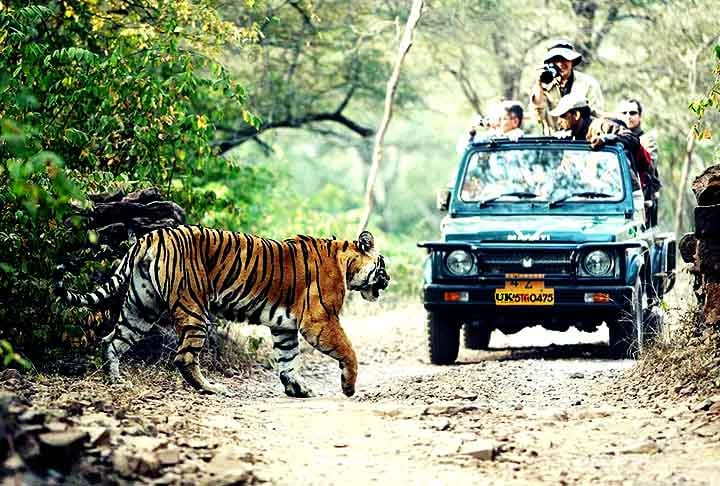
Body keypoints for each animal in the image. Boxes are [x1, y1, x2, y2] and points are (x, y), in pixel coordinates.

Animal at [57, 225, 390, 398]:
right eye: (383, 265)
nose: (388, 280)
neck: (346, 263)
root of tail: (150, 236)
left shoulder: (284, 325)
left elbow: (288, 358)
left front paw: (296, 388)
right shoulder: (320, 320)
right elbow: (348, 350)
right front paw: (349, 387)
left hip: (140, 308)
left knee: (111, 341)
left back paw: (116, 381)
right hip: (194, 311)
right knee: (183, 357)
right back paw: (212, 389)